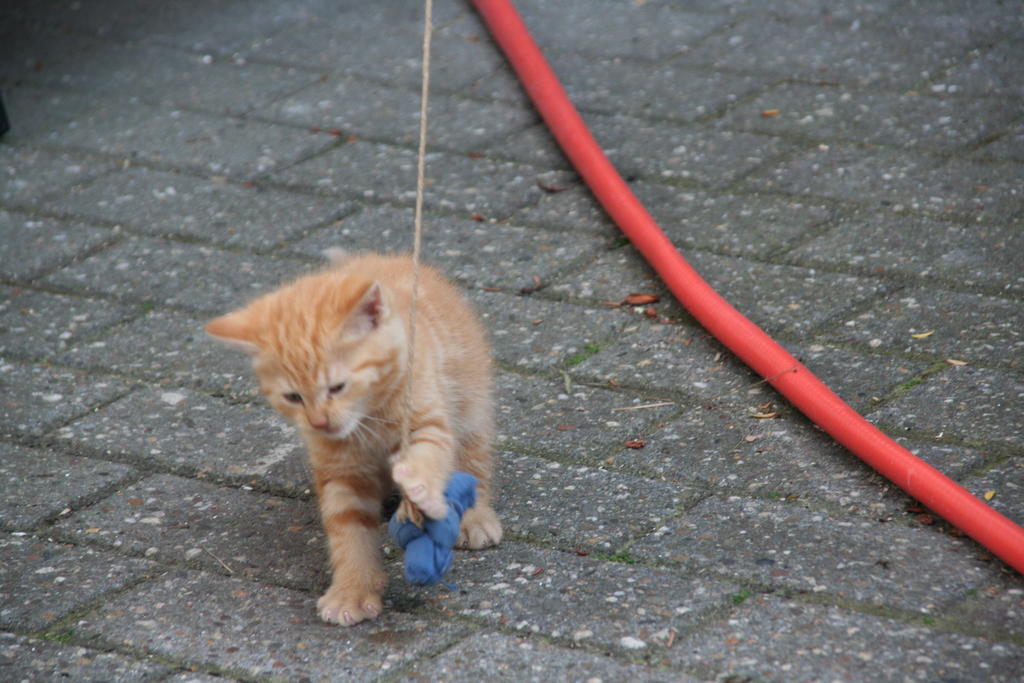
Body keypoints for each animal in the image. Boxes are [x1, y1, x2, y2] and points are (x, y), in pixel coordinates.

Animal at [205, 250, 502, 626]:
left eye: (337, 387)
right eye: (294, 397)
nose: (319, 422)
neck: (367, 419)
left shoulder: (427, 418)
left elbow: (430, 454)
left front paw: (422, 491)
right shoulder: (340, 469)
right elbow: (348, 527)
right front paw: (353, 590)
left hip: (469, 400)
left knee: (473, 459)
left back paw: (474, 517)